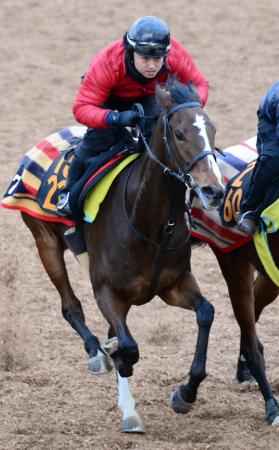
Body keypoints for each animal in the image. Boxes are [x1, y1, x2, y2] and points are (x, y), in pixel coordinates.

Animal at [7, 78, 225, 432]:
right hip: (45, 242)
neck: (152, 225)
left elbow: (206, 313)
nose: (213, 191)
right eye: (179, 134)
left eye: (212, 129)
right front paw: (128, 403)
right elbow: (129, 348)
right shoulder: (106, 291)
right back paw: (97, 352)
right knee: (70, 306)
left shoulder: (174, 284)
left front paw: (186, 393)